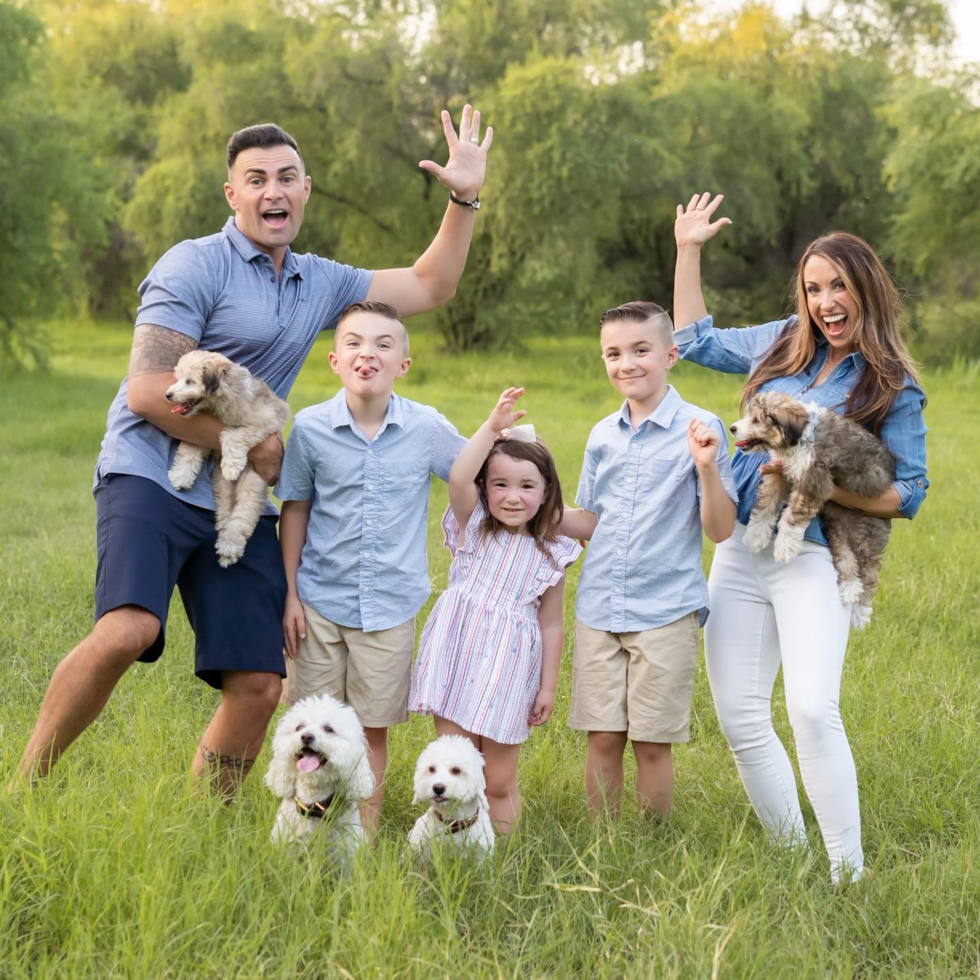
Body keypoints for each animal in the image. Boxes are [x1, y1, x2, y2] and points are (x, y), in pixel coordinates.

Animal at [163, 350, 288, 568]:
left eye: (189, 381)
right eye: (178, 378)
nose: (168, 395)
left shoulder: (264, 423)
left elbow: (232, 435)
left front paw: (232, 465)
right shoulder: (204, 433)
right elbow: (191, 450)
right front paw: (181, 476)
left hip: (251, 484)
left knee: (242, 516)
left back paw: (230, 547)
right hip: (221, 488)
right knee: (224, 514)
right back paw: (224, 544)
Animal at [728, 390, 896, 628]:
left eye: (757, 420)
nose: (733, 428)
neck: (798, 439)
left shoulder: (813, 478)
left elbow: (791, 517)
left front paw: (784, 547)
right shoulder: (779, 474)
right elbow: (766, 504)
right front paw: (756, 535)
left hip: (868, 530)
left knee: (869, 568)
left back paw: (859, 611)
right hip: (836, 527)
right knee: (845, 557)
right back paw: (849, 588)